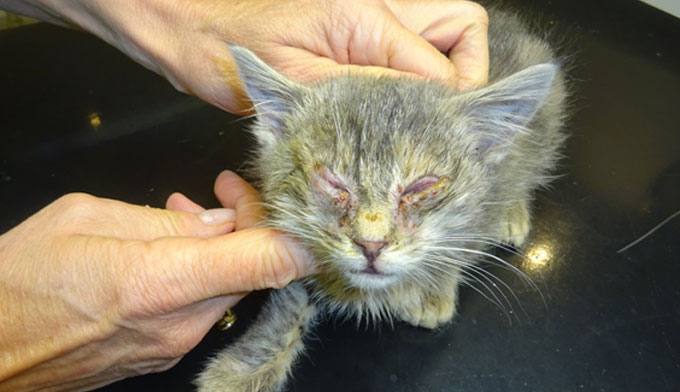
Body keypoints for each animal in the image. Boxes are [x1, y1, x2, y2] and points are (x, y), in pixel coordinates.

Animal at [195, 6, 568, 392]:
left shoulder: (483, 208)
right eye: (334, 182)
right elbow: (289, 303)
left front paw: (432, 290)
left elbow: (460, 245)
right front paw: (243, 368)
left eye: (420, 187)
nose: (371, 245)